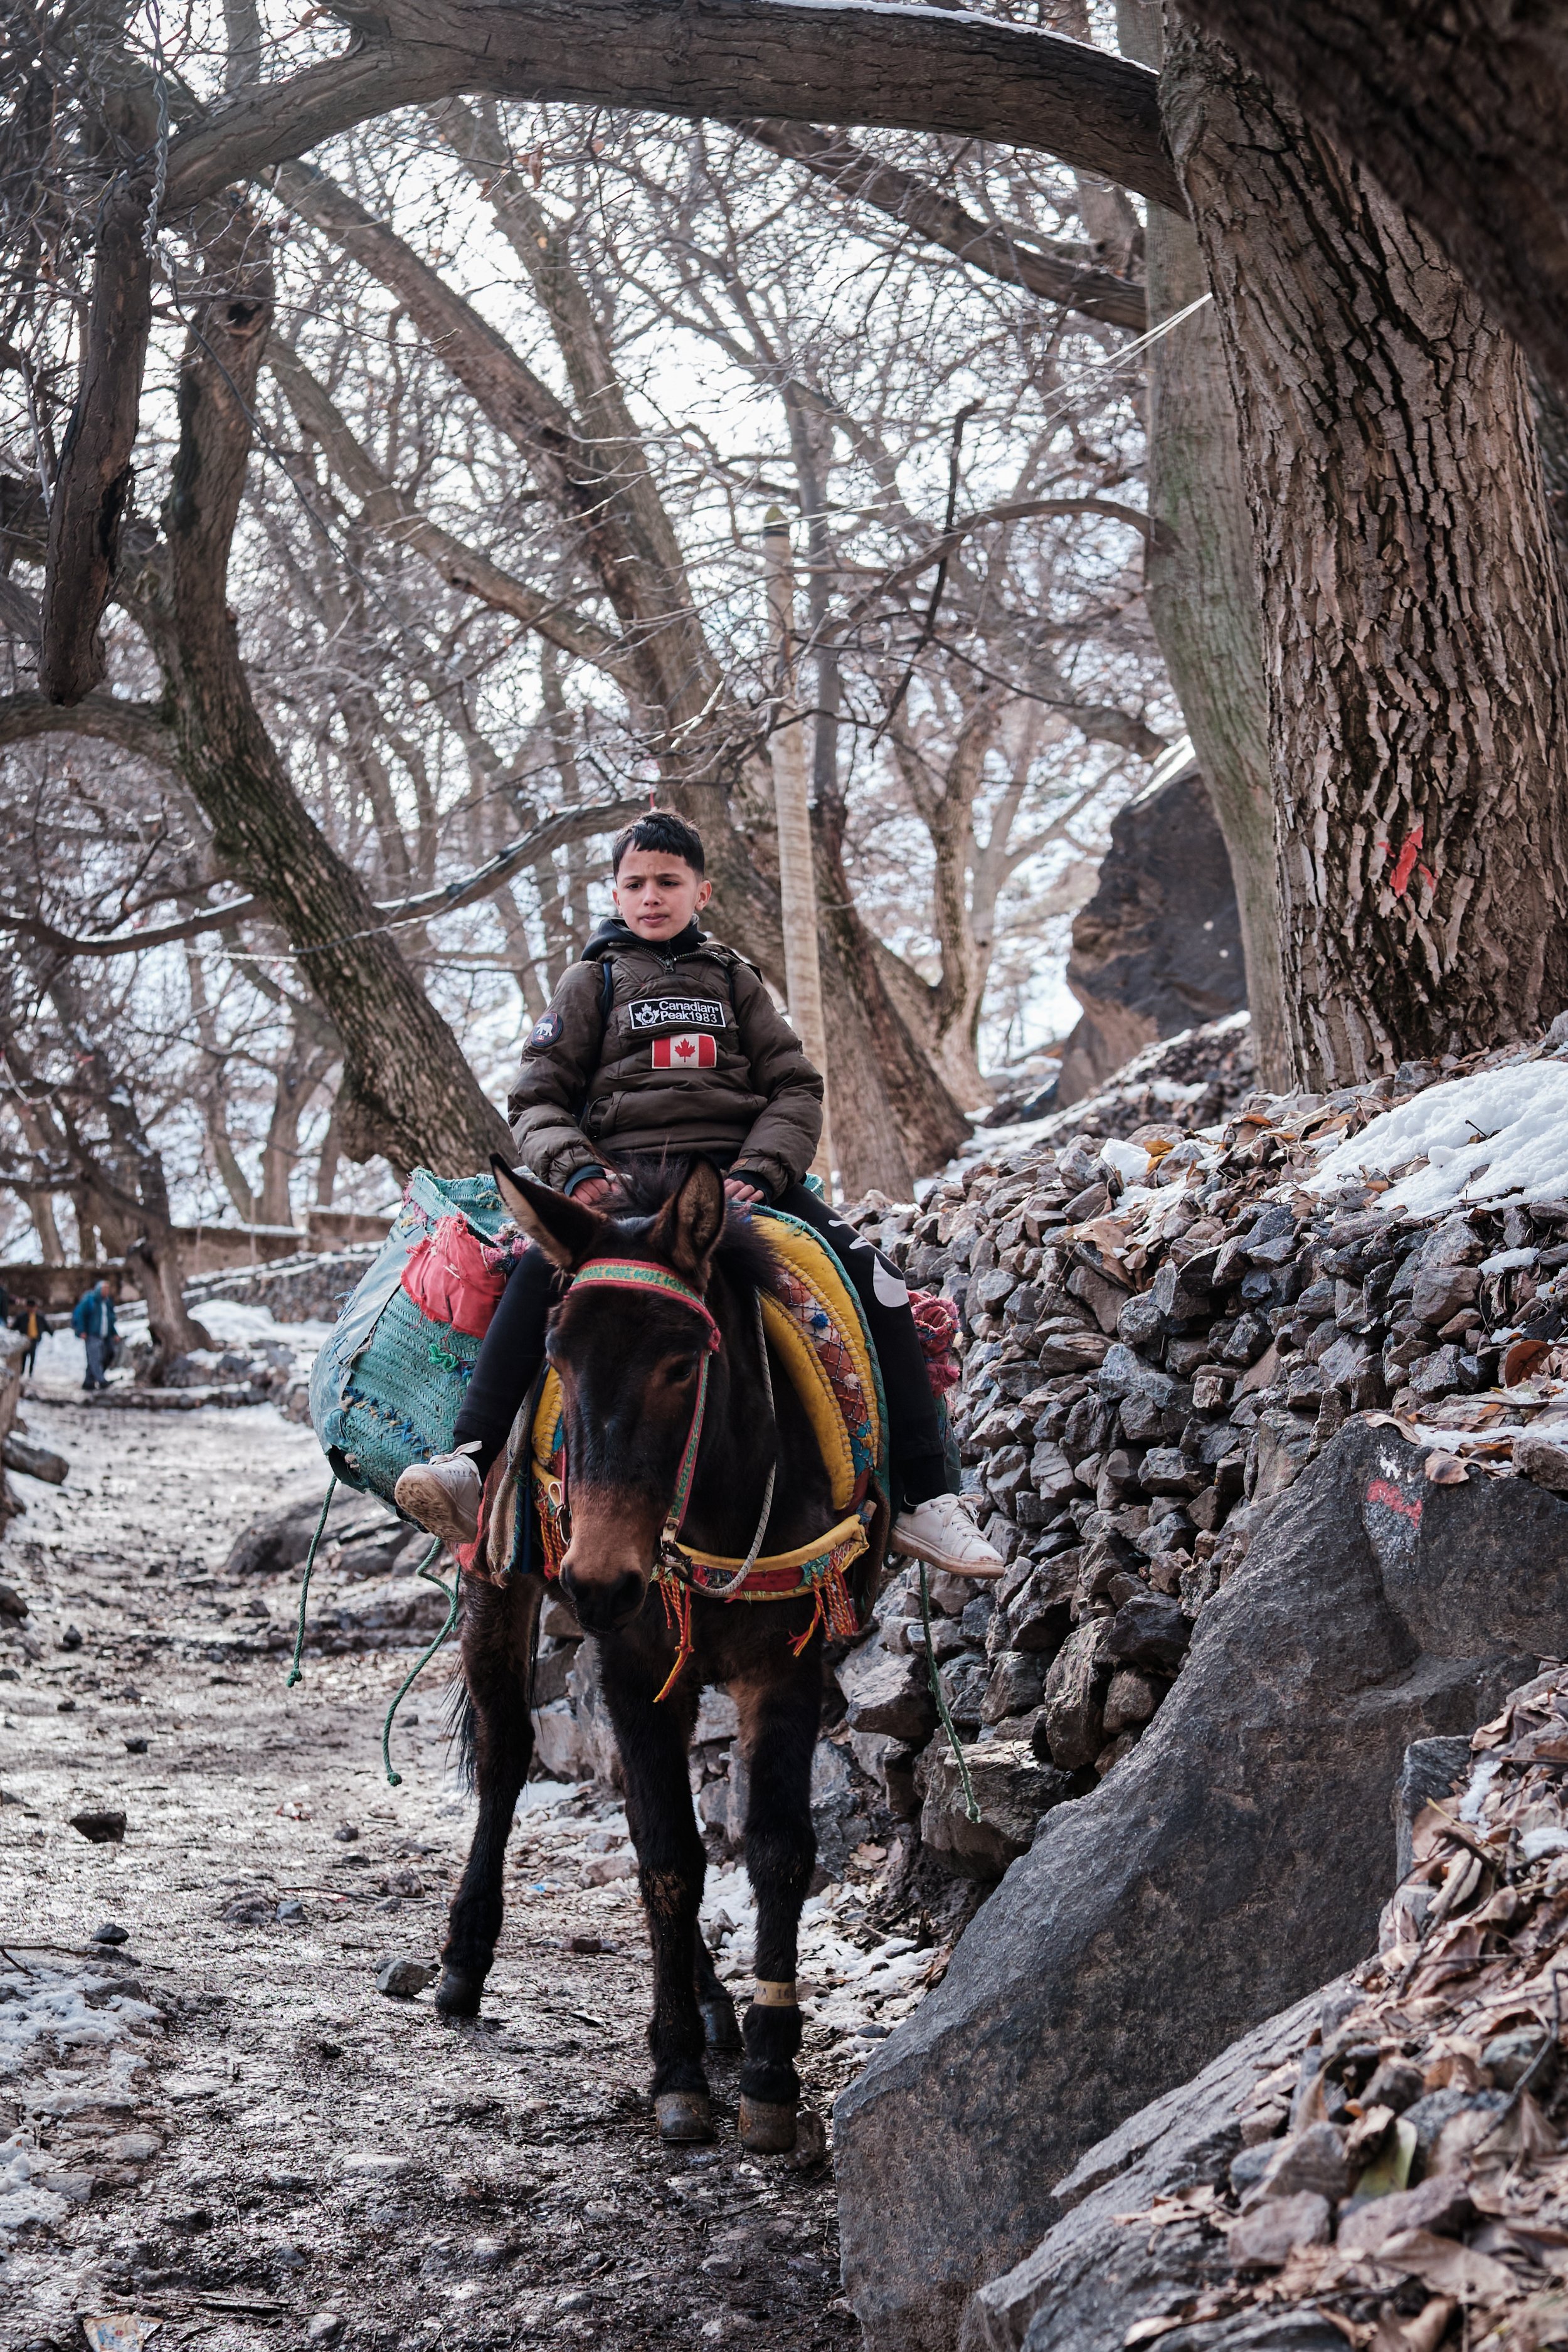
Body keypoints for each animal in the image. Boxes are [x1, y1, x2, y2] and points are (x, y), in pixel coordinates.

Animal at [436, 1154, 881, 2152]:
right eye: (557, 1355)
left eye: (683, 1362)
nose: (601, 1581)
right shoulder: (633, 1670)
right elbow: (668, 1857)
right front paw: (675, 2069)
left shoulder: (785, 1667)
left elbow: (774, 1847)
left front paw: (769, 2070)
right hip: (497, 1582)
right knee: (507, 1754)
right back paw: (462, 1960)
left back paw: (718, 2008)